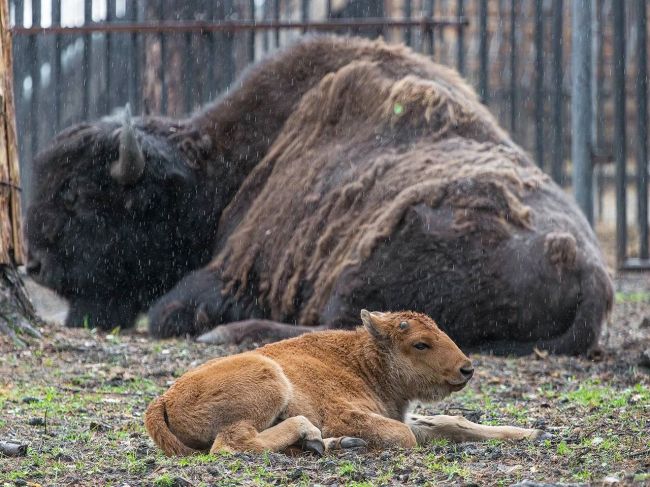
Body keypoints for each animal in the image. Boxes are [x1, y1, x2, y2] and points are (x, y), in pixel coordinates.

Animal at [26, 35, 612, 354]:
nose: (34, 264)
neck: (215, 166)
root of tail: (592, 275)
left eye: (77, 197)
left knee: (346, 326)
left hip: (368, 260)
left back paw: (226, 335)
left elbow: (171, 308)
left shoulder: (234, 272)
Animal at [144, 312, 544, 458]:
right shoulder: (346, 414)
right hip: (269, 379)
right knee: (231, 444)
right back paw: (311, 435)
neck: (364, 360)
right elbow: (405, 436)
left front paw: (528, 433)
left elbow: (453, 423)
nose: (466, 369)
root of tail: (163, 399)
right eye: (420, 344)